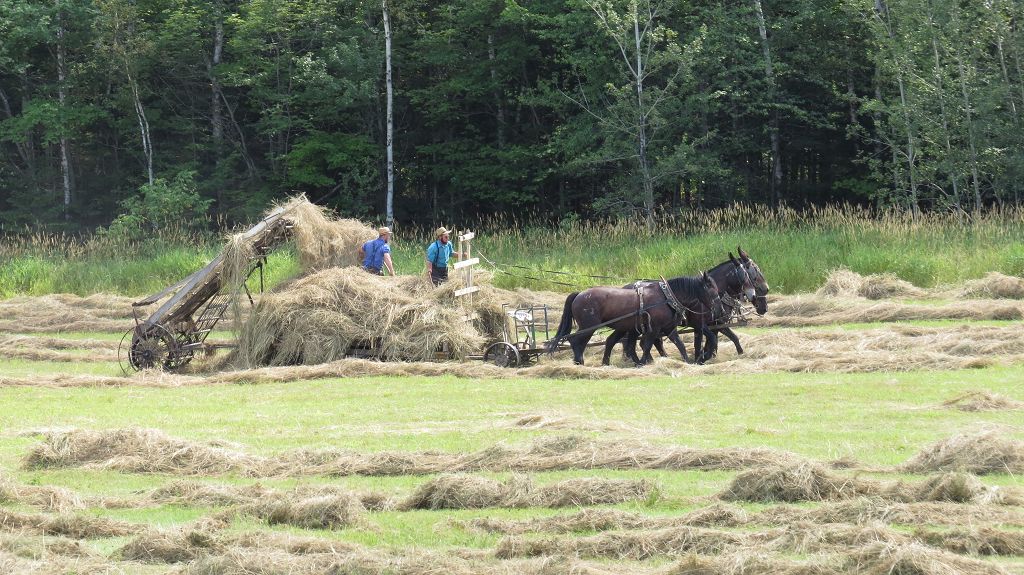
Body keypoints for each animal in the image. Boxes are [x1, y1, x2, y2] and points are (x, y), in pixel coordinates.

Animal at [548, 272, 724, 362]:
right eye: (712, 290)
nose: (720, 310)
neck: (666, 298)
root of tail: (579, 294)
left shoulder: (668, 328)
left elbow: (679, 344)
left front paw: (688, 361)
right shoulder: (654, 329)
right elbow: (647, 345)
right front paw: (644, 362)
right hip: (588, 326)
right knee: (575, 341)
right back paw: (580, 361)